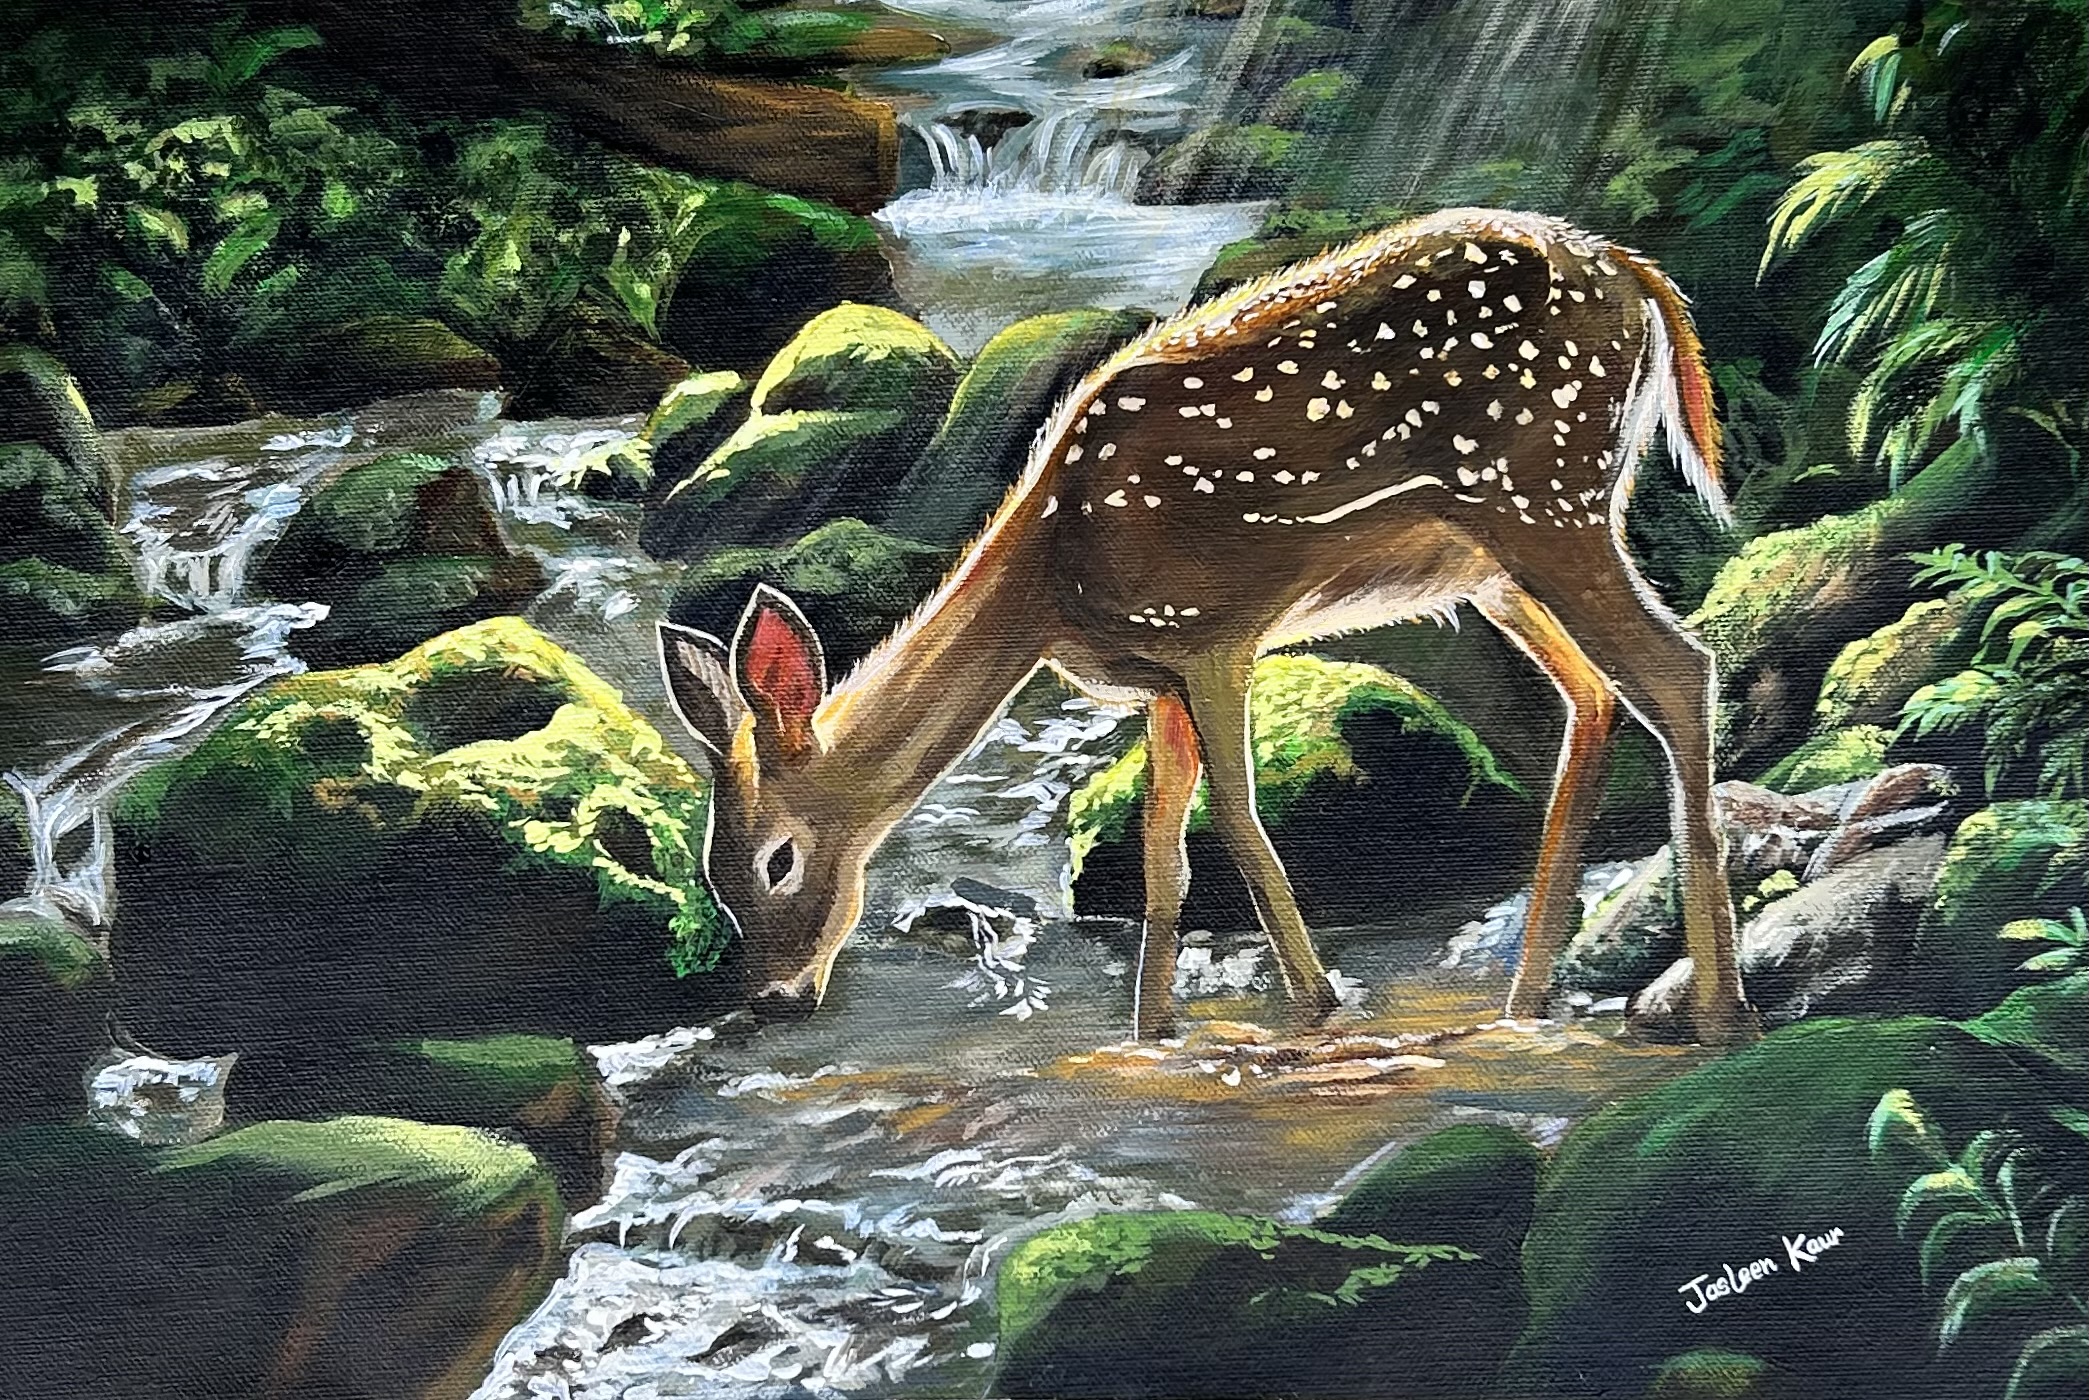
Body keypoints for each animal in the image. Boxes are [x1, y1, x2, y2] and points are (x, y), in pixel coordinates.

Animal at [658, 206, 1759, 1048]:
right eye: (712, 873)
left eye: (776, 860)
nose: (773, 998)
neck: (1050, 582)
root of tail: (1637, 275)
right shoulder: (1158, 681)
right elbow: (1158, 853)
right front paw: (1151, 1031)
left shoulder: (1214, 631)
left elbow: (1234, 818)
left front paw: (1317, 1008)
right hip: (1498, 562)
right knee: (1594, 696)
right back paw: (1526, 1001)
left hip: (1544, 498)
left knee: (1679, 671)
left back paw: (1720, 1011)